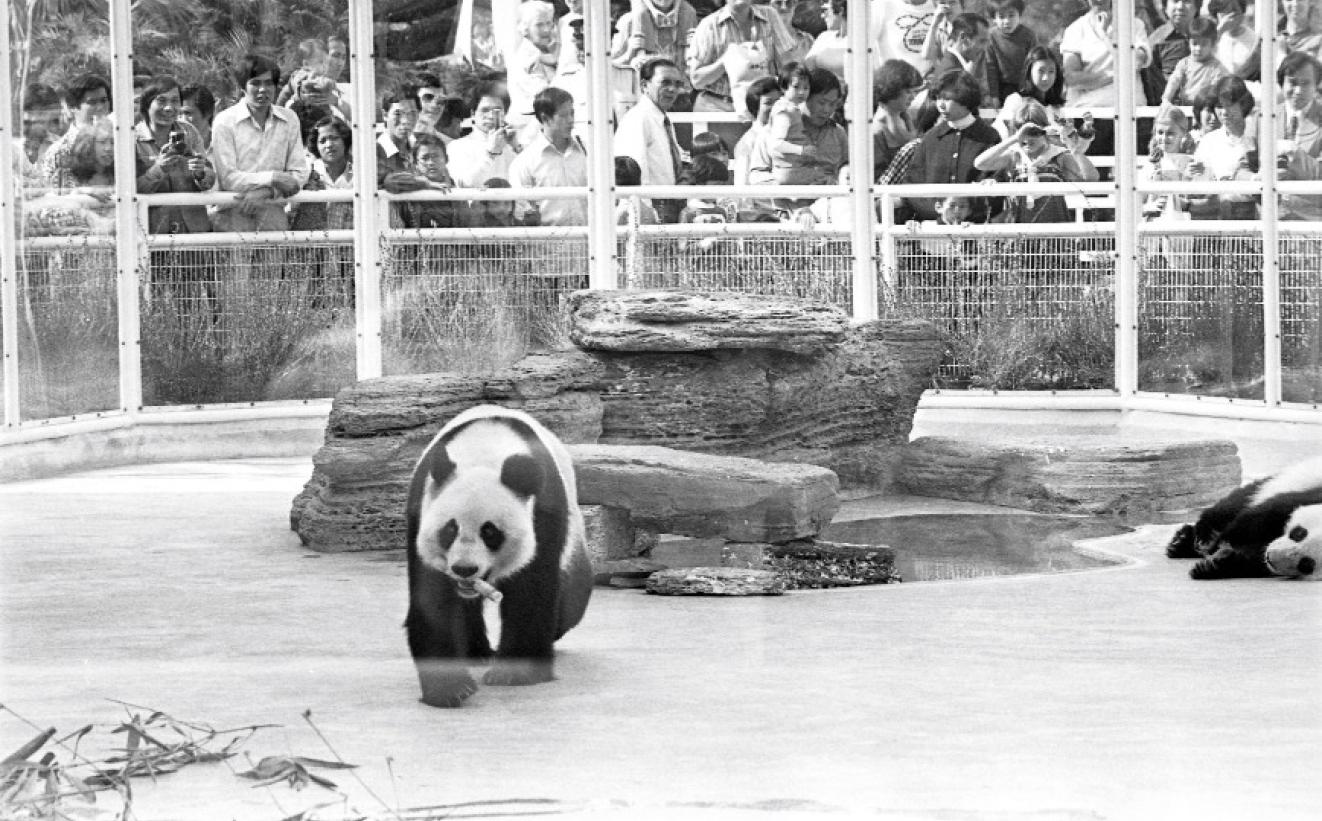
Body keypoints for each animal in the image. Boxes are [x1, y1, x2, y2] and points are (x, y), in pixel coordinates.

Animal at [404, 405, 593, 707]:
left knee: (571, 600)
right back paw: (477, 652)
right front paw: (450, 688)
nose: (465, 569)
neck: (485, 451)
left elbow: (531, 589)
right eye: (450, 529)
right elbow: (434, 599)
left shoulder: (544, 511)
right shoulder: (420, 509)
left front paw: (515, 673)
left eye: (490, 532)